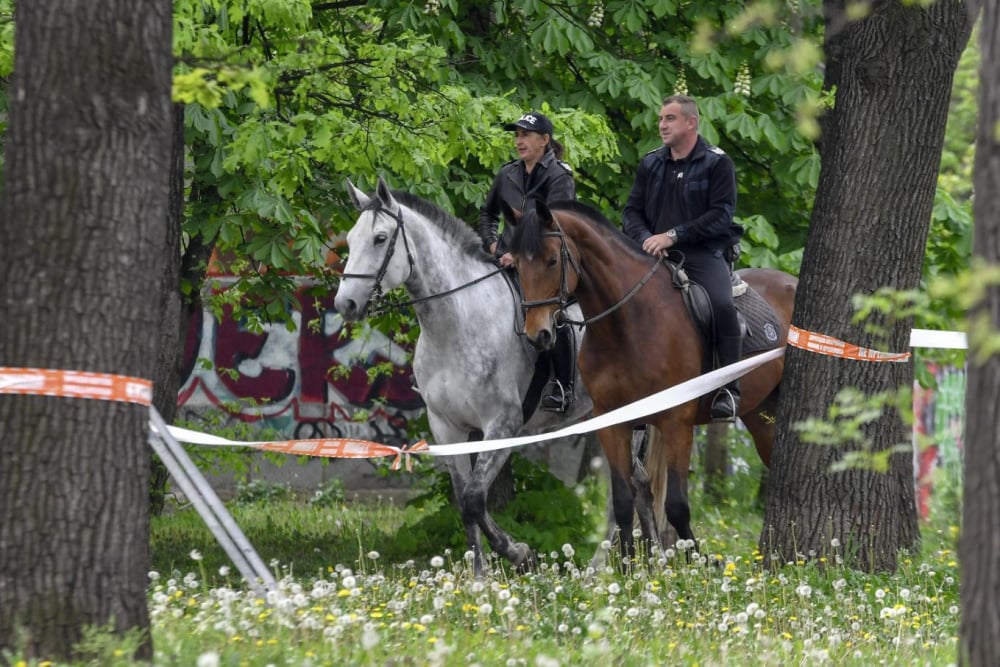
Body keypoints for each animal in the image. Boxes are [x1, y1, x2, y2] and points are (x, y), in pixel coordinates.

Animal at [334, 176, 592, 576]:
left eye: (379, 238)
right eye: (349, 239)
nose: (344, 304)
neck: (456, 324)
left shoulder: (502, 425)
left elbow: (474, 497)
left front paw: (518, 554)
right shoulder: (447, 427)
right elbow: (464, 500)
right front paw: (480, 576)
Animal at [508, 201, 796, 560]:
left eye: (551, 260)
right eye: (517, 262)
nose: (539, 334)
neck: (628, 323)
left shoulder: (676, 422)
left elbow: (676, 506)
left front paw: (697, 563)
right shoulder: (612, 422)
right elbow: (623, 501)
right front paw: (628, 566)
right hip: (761, 416)